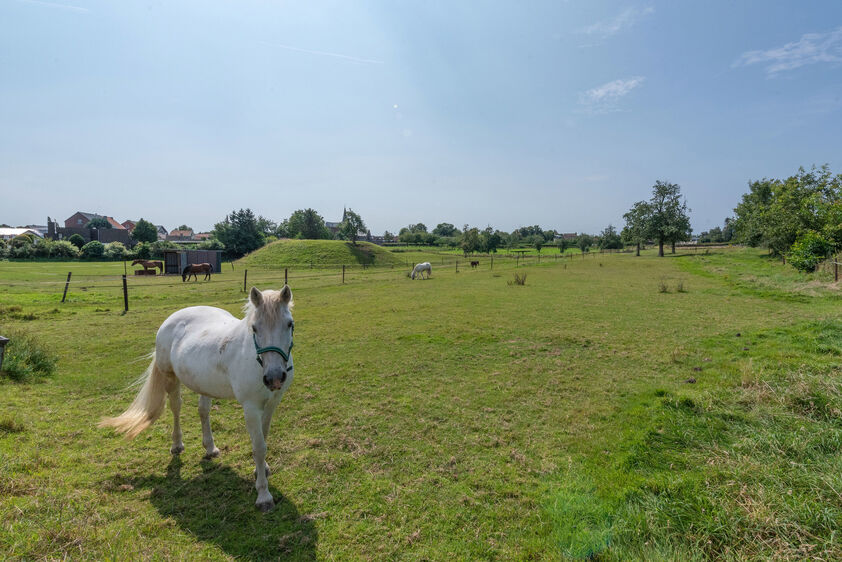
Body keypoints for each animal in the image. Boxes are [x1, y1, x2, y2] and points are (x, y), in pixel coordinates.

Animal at [100, 286, 296, 510]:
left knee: (203, 412)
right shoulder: (251, 408)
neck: (255, 358)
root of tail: (173, 318)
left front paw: (261, 469)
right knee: (176, 408)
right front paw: (263, 495)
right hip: (171, 379)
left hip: (205, 385)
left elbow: (264, 438)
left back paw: (210, 448)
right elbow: (259, 447)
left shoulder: (271, 403)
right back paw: (177, 445)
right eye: (254, 328)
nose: (274, 378)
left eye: (289, 324)